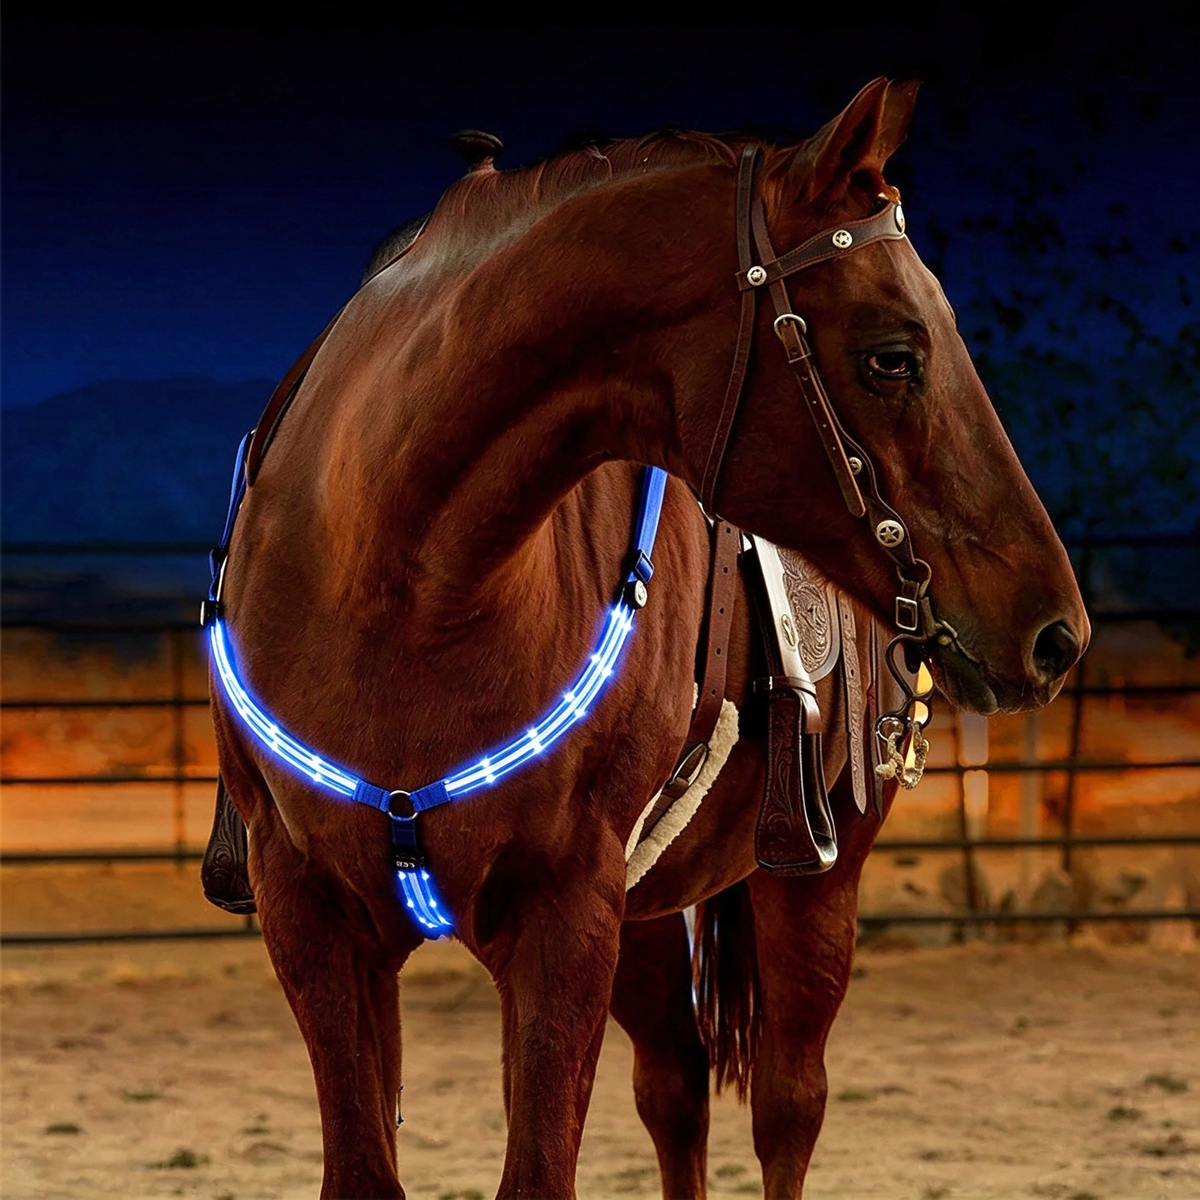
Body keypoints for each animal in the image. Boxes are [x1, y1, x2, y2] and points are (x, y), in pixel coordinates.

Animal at [208, 77, 1088, 1198]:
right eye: (894, 355)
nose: (1056, 631)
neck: (397, 585)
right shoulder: (314, 918)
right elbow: (371, 1166)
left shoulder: (565, 916)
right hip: (645, 917)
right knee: (675, 1088)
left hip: (812, 883)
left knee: (788, 1106)